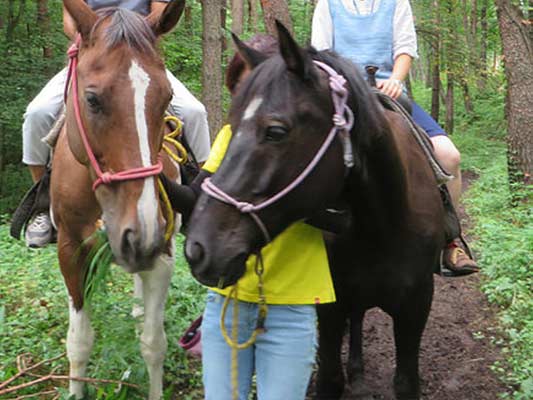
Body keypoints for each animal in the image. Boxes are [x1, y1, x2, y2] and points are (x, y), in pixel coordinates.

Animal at [50, 1, 183, 398]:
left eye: (167, 98)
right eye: (92, 99)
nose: (139, 234)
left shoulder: (162, 250)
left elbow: (153, 344)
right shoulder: (70, 249)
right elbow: (79, 342)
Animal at [185, 23, 442, 398]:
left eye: (276, 131)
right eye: (231, 127)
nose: (198, 247)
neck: (381, 227)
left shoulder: (416, 307)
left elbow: (407, 382)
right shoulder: (332, 308)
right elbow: (330, 377)